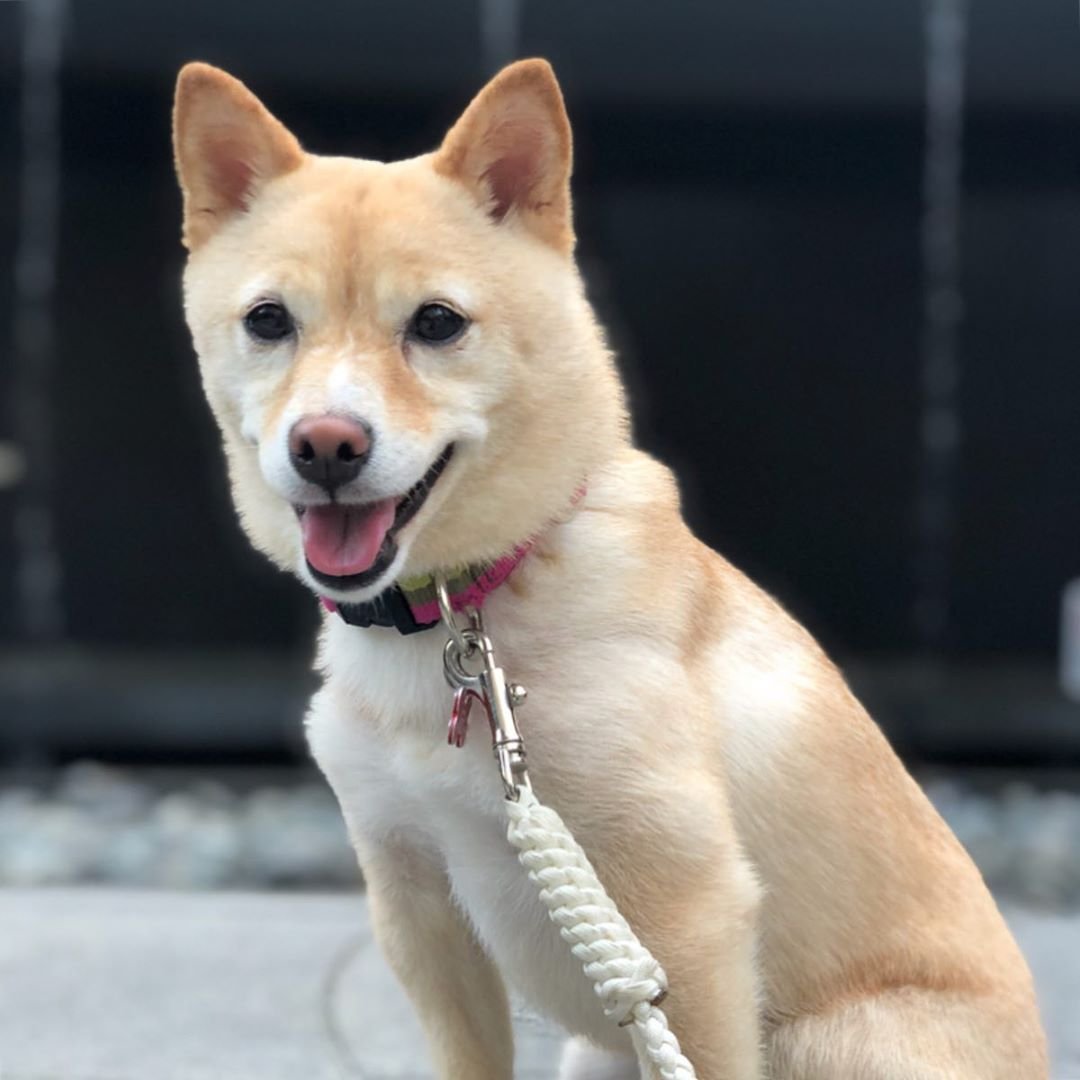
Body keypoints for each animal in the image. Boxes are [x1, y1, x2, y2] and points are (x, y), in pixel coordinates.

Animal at [170, 61, 1045, 1080]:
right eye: (269, 321)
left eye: (437, 323)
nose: (325, 446)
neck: (473, 607)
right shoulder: (417, 908)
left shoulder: (686, 918)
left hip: (837, 1040)